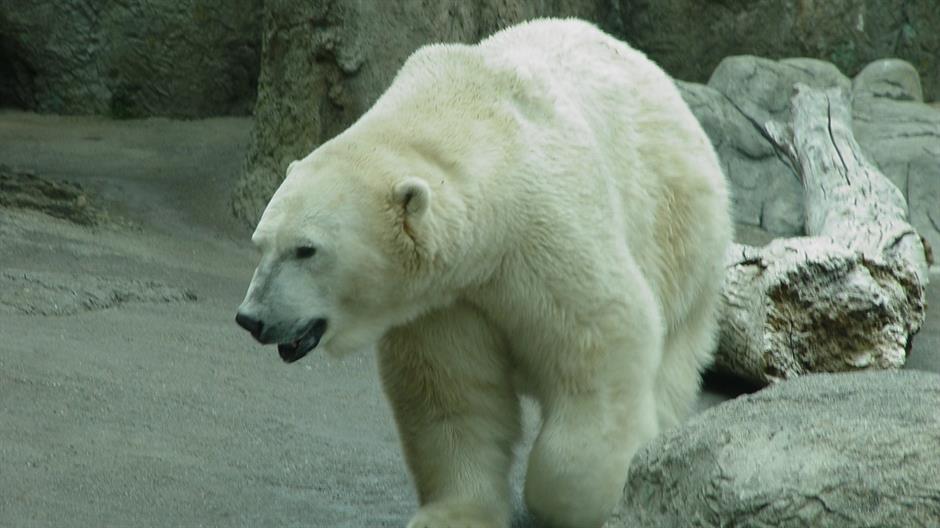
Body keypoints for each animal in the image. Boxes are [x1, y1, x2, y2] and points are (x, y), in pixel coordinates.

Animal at [236, 18, 731, 528]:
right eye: (261, 242)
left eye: (305, 249)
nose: (251, 318)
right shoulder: (446, 298)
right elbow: (454, 394)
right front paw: (451, 514)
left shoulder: (547, 235)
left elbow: (602, 343)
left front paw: (579, 502)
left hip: (680, 233)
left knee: (672, 359)